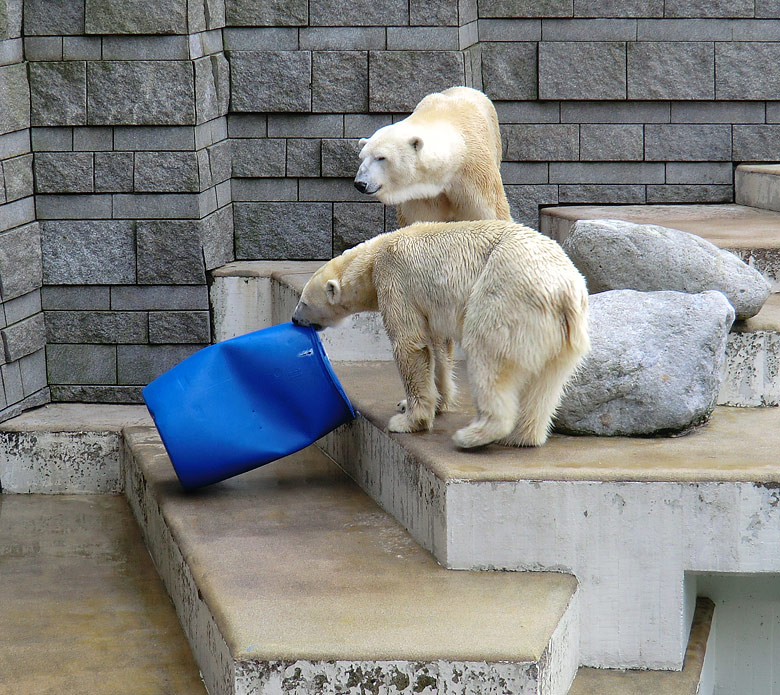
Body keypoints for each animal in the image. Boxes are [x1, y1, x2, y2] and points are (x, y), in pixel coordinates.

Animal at [292, 220, 592, 448]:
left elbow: (410, 343)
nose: (294, 319)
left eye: (303, 302)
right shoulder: (430, 304)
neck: (372, 258)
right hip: (562, 335)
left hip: (506, 299)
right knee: (548, 382)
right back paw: (522, 436)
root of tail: (564, 290)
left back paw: (474, 435)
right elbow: (436, 346)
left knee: (487, 355)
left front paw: (409, 421)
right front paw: (430, 403)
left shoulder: (395, 279)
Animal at [354, 84, 512, 226]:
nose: (360, 184)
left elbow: (489, 212)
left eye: (381, 157)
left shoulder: (473, 174)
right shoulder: (422, 193)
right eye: (362, 157)